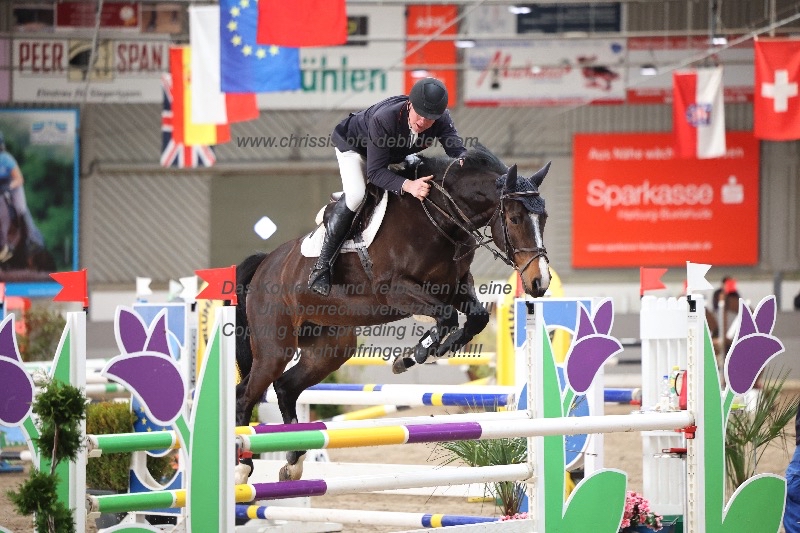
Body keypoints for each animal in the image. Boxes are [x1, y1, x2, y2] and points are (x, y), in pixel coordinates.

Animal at [231, 144, 552, 478]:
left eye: (543, 218)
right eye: (514, 218)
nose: (539, 282)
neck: (440, 217)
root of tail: (266, 263)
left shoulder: (454, 287)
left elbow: (476, 317)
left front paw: (428, 351)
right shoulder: (396, 289)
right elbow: (447, 316)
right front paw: (416, 354)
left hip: (331, 347)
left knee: (285, 387)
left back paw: (293, 462)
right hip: (275, 347)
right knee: (245, 394)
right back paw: (242, 465)